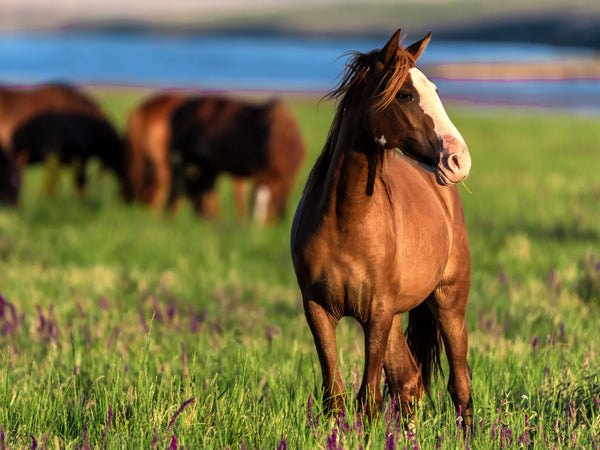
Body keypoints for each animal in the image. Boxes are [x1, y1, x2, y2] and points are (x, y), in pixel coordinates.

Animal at [125, 92, 304, 223]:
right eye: (254, 201)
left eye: (273, 199)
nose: (257, 227)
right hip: (180, 162)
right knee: (177, 188)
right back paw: (171, 216)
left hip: (205, 167)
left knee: (200, 191)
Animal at [290, 29, 474, 426]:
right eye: (405, 94)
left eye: (435, 89)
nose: (458, 160)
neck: (346, 220)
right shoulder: (319, 310)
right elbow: (335, 397)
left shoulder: (376, 314)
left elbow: (369, 399)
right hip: (395, 319)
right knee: (410, 382)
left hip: (448, 303)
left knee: (460, 386)